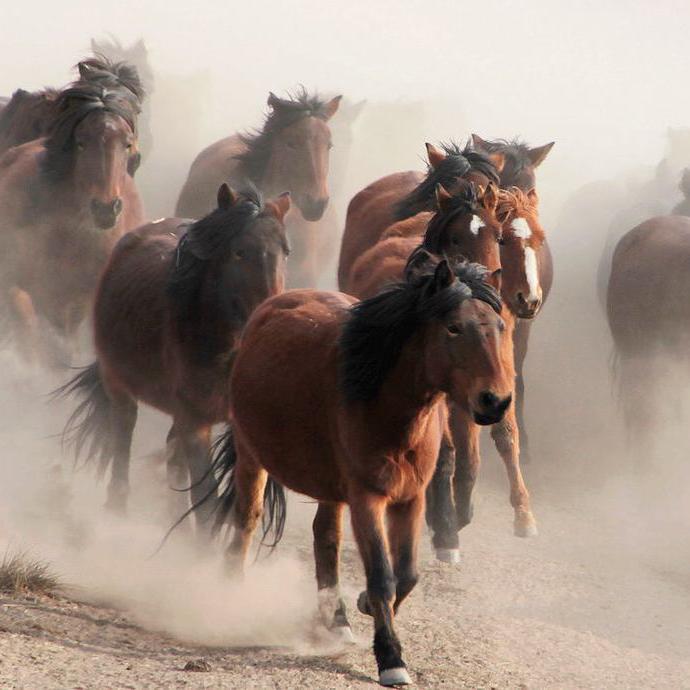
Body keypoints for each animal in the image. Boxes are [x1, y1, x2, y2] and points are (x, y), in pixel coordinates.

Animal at [56, 185, 288, 520]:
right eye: (239, 252)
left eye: (286, 252)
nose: (270, 314)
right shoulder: (195, 423)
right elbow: (206, 500)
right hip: (118, 384)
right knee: (123, 431)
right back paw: (117, 507)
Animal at [207, 258, 508, 684]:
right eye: (454, 327)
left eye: (499, 326)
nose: (495, 401)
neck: (385, 405)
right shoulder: (367, 498)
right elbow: (382, 575)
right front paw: (391, 658)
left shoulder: (410, 498)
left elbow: (406, 574)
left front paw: (366, 608)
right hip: (252, 457)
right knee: (246, 522)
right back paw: (232, 595)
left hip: (331, 487)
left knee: (325, 538)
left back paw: (336, 620)